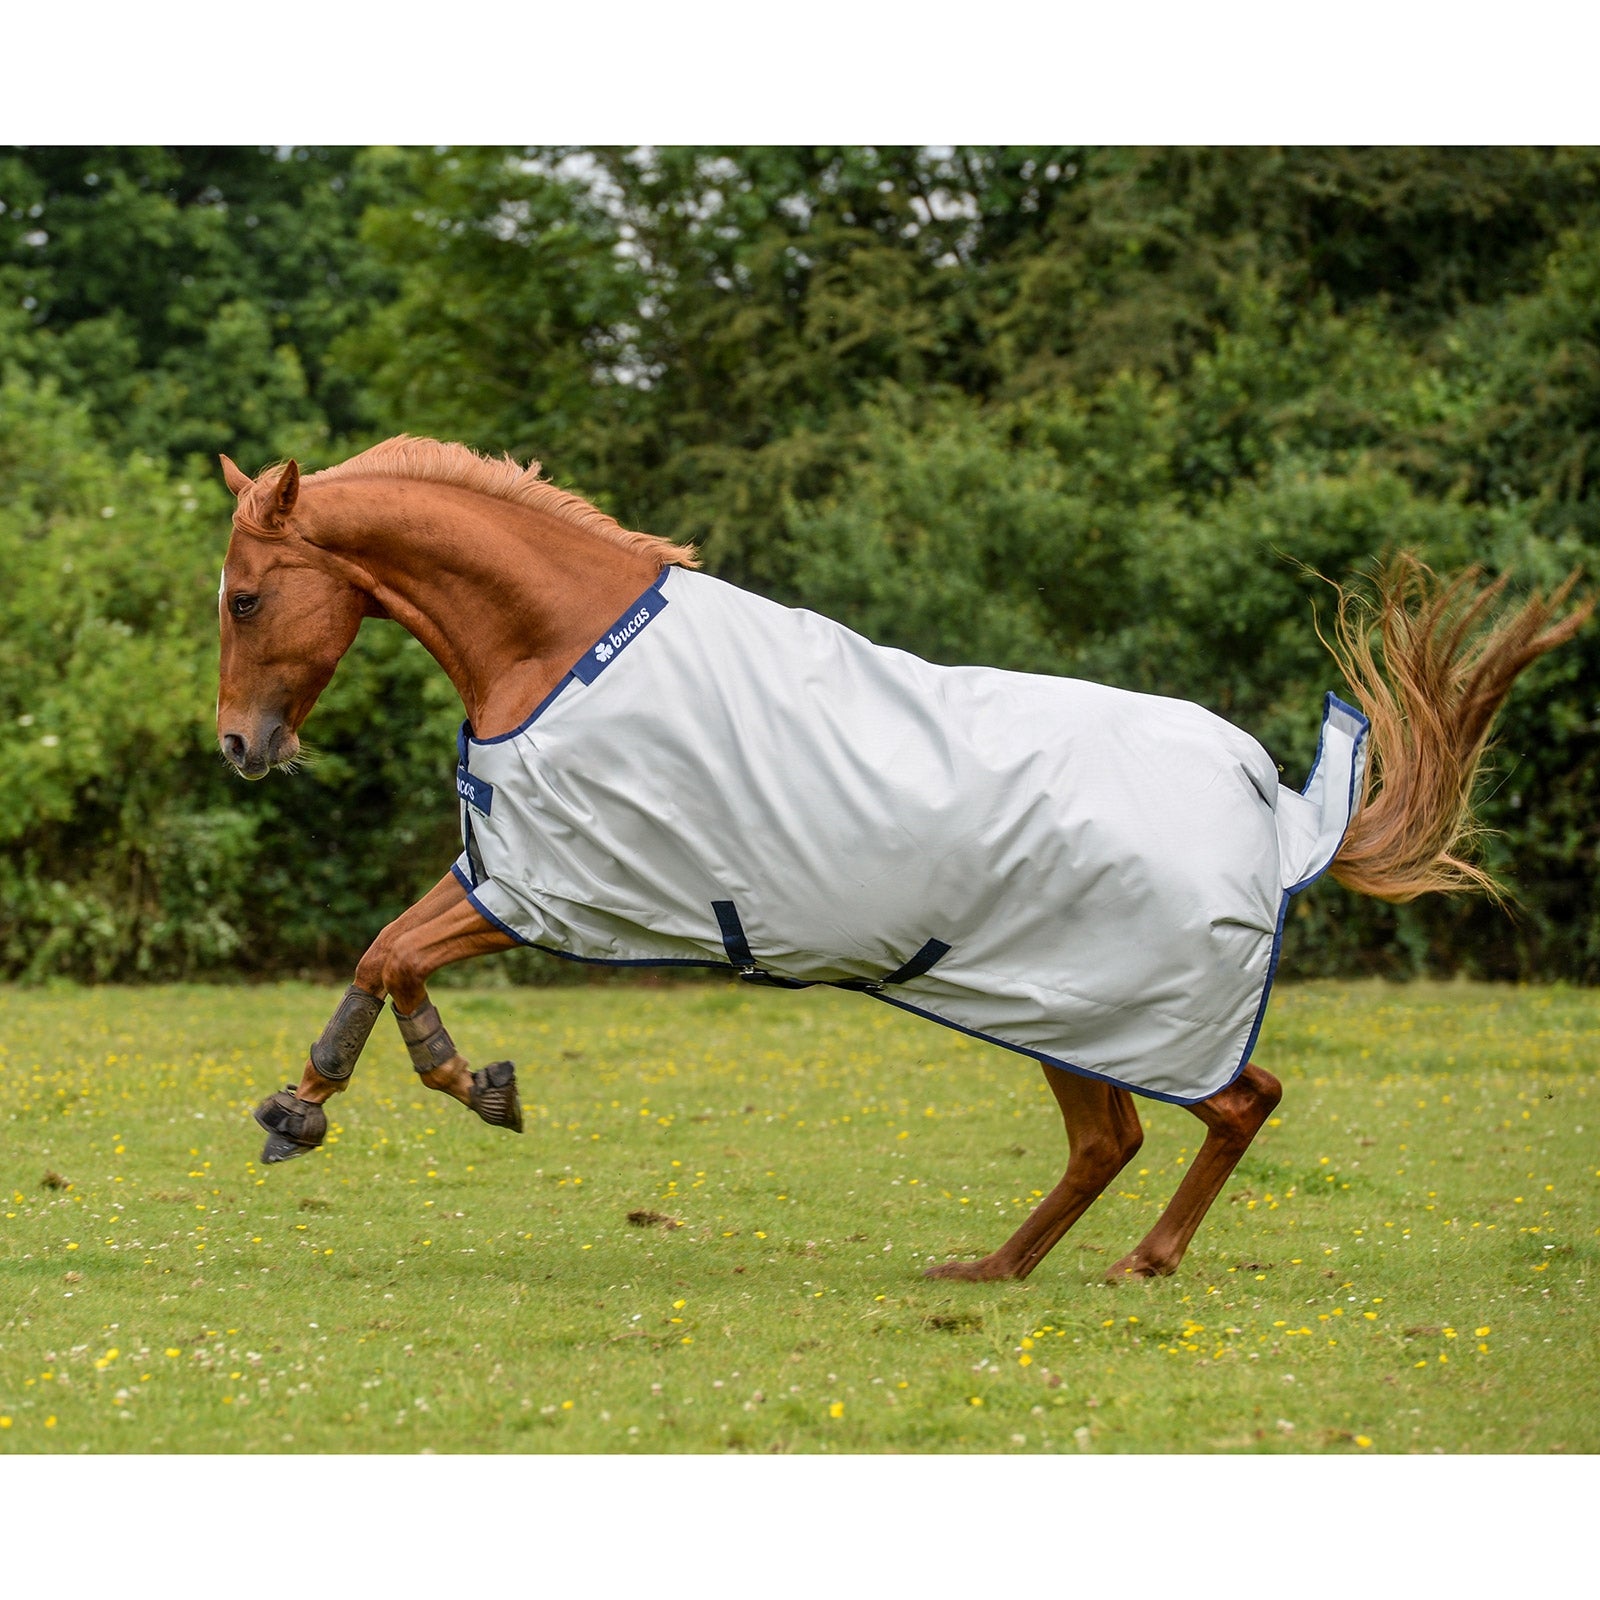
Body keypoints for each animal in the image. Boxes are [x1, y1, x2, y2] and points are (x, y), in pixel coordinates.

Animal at [215, 436, 1590, 1284]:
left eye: (242, 596)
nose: (239, 746)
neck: (556, 647)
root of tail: (1274, 808)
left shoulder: (540, 885)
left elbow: (390, 953)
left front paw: (415, 1091)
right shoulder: (516, 878)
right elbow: (382, 954)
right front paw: (322, 1101)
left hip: (1111, 1011)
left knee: (1231, 1104)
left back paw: (1135, 1263)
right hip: (1052, 1009)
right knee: (1116, 1140)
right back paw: (995, 1268)